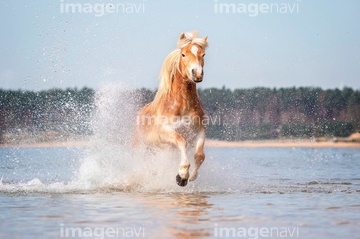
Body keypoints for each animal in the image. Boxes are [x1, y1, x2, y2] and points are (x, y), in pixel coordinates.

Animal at [134, 31, 208, 187]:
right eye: (183, 54)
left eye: (203, 54)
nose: (197, 74)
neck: (183, 104)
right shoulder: (165, 132)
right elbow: (181, 141)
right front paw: (182, 176)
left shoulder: (200, 131)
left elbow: (200, 155)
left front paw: (192, 176)